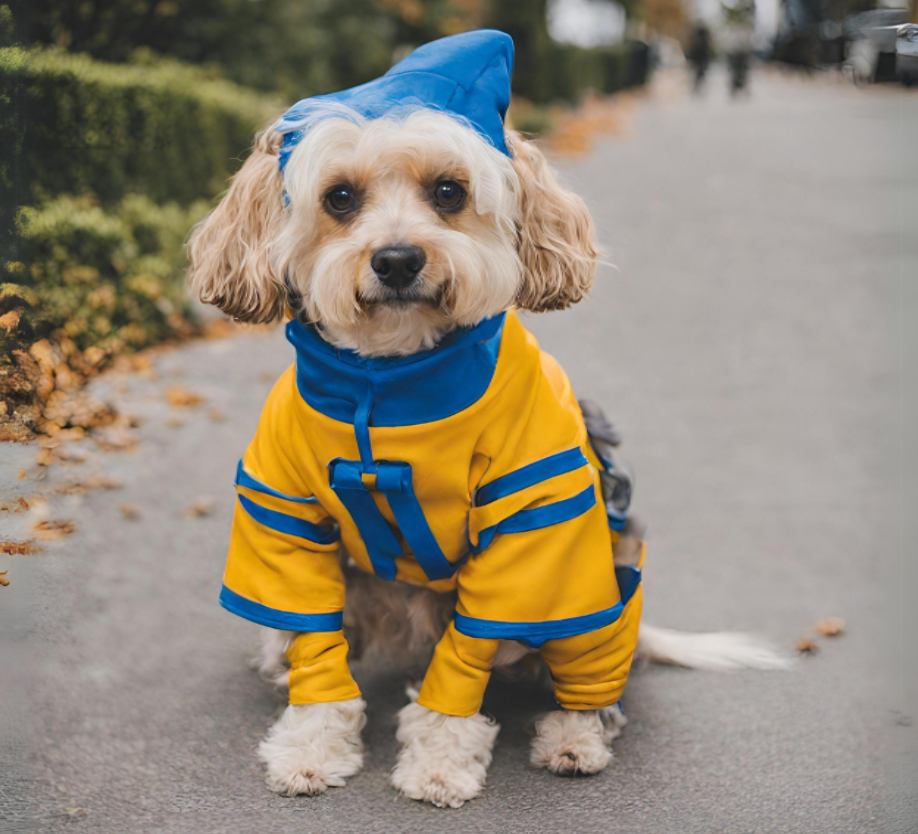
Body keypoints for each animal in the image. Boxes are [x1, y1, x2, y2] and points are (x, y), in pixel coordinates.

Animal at [189, 30, 792, 808]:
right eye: (340, 197)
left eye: (449, 192)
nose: (397, 259)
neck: (388, 385)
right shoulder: (286, 520)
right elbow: (315, 645)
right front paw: (311, 745)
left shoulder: (526, 532)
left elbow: (465, 657)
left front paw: (440, 759)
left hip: (601, 572)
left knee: (589, 680)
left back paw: (574, 736)